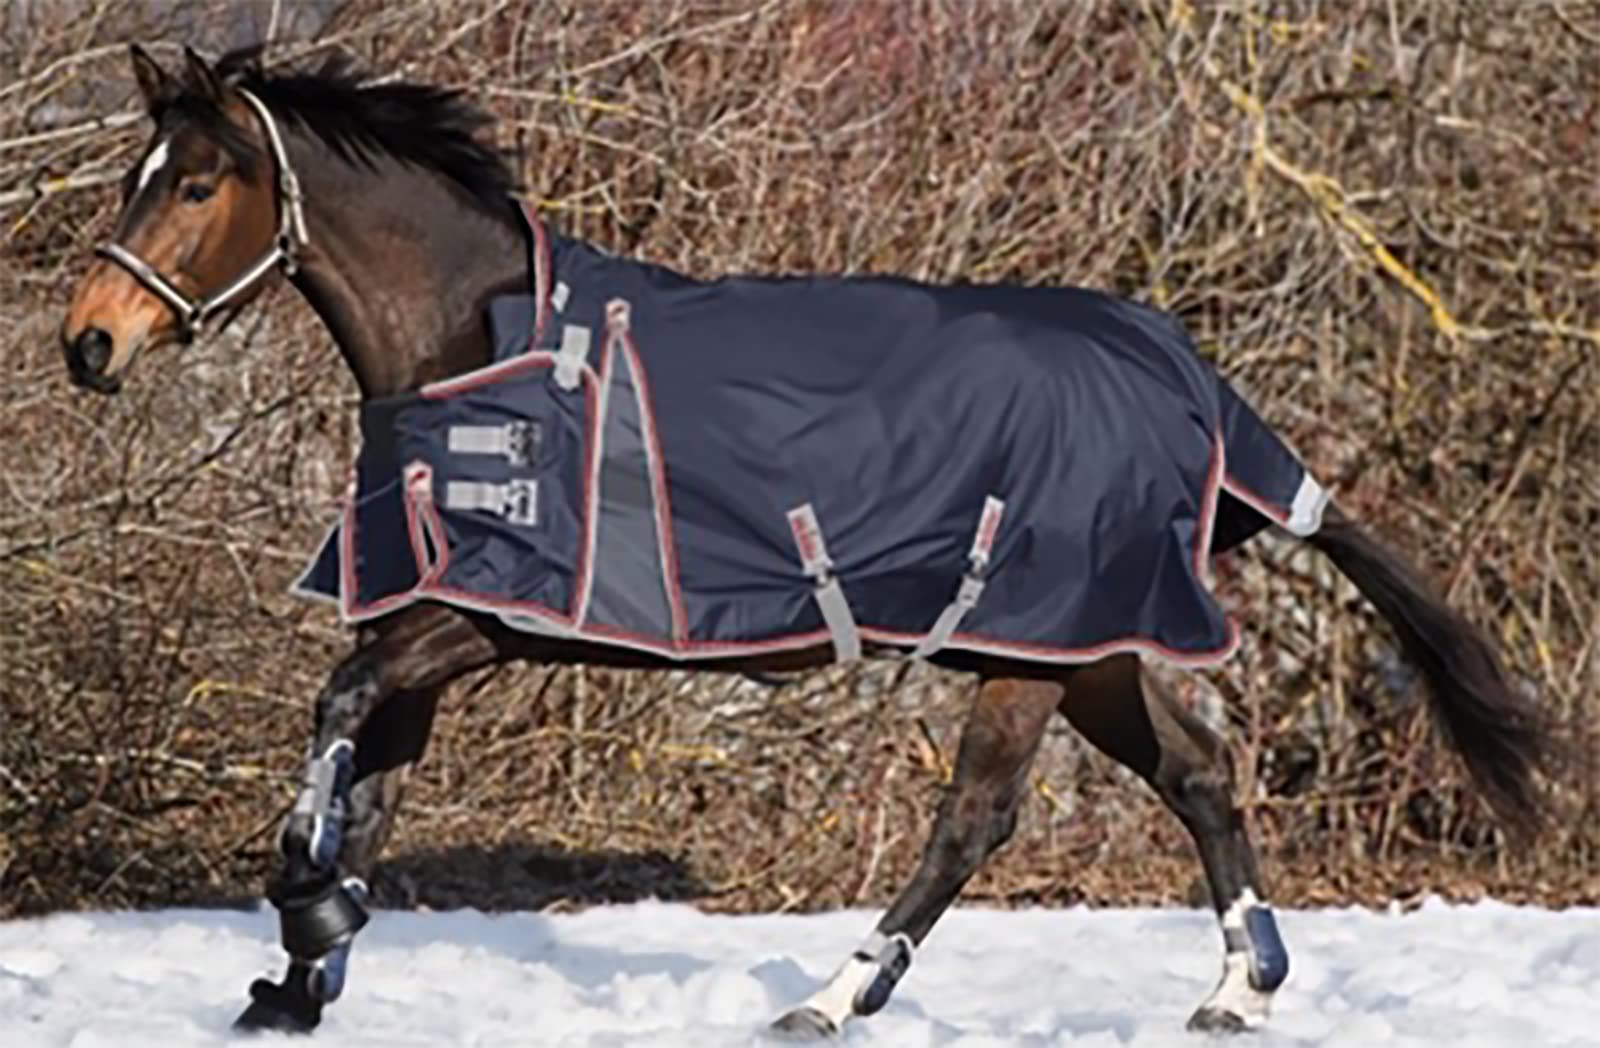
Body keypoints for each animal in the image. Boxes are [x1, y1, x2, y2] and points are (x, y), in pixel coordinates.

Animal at [58, 45, 1550, 1038]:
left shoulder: (481, 621)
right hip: (1096, 647)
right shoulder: (429, 624)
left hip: (1030, 648)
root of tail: (1179, 369)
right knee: (1198, 775)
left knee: (976, 819)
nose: (89, 346)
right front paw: (300, 973)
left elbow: (336, 710)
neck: (482, 346)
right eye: (144, 175)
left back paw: (838, 993)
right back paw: (1239, 987)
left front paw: (309, 911)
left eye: (197, 184)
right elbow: (367, 778)